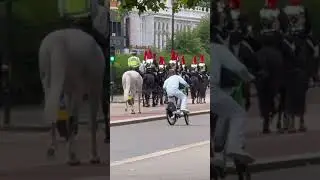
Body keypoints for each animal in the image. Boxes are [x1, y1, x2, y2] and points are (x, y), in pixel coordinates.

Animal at [38, 28, 104, 166]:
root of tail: (58, 41)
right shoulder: (95, 88)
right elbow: (92, 121)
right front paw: (94, 156)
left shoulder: (68, 92)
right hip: (78, 87)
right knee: (73, 118)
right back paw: (72, 157)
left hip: (47, 80)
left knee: (53, 109)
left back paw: (53, 148)